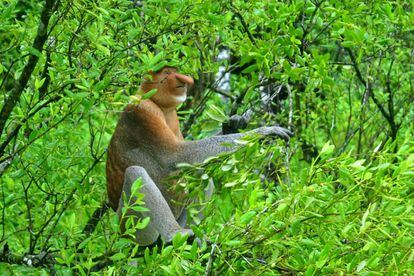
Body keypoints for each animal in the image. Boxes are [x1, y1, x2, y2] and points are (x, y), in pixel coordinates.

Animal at [106, 65, 294, 246]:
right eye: (167, 73)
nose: (184, 81)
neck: (159, 104)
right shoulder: (144, 112)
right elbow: (177, 156)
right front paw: (264, 131)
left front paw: (233, 124)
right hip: (132, 225)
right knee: (135, 172)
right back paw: (175, 234)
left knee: (201, 176)